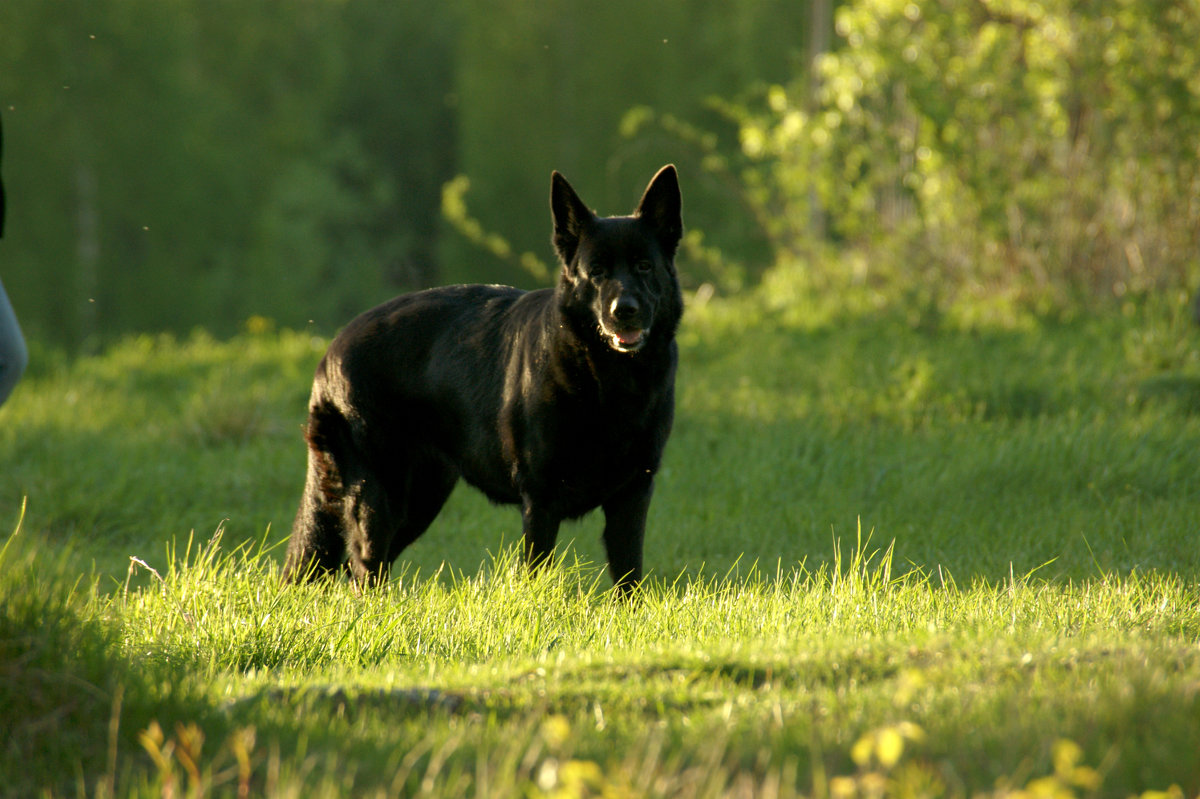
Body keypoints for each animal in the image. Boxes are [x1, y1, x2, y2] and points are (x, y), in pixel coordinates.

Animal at [279, 164, 686, 595]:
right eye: (596, 272)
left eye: (644, 266)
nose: (624, 310)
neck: (609, 382)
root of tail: (330, 352)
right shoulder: (541, 501)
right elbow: (537, 572)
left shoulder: (632, 496)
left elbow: (630, 580)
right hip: (380, 497)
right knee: (362, 568)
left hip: (421, 497)